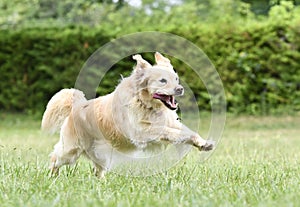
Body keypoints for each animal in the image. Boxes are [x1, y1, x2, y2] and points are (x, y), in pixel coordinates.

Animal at [41, 52, 213, 177]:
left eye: (176, 78)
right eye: (163, 80)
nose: (180, 89)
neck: (146, 104)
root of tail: (75, 107)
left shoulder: (171, 122)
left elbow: (188, 132)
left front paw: (203, 144)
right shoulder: (142, 132)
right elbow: (173, 133)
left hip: (99, 153)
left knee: (97, 170)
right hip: (70, 150)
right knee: (55, 158)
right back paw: (52, 177)